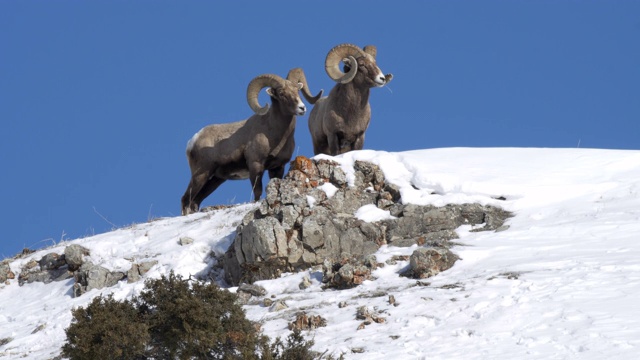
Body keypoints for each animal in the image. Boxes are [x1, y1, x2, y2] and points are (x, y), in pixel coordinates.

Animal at [181, 69, 322, 214]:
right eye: (281, 93)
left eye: (297, 90)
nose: (302, 108)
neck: (275, 134)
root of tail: (193, 140)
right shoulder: (256, 165)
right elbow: (257, 192)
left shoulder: (277, 168)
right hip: (201, 174)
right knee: (186, 199)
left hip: (215, 179)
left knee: (195, 201)